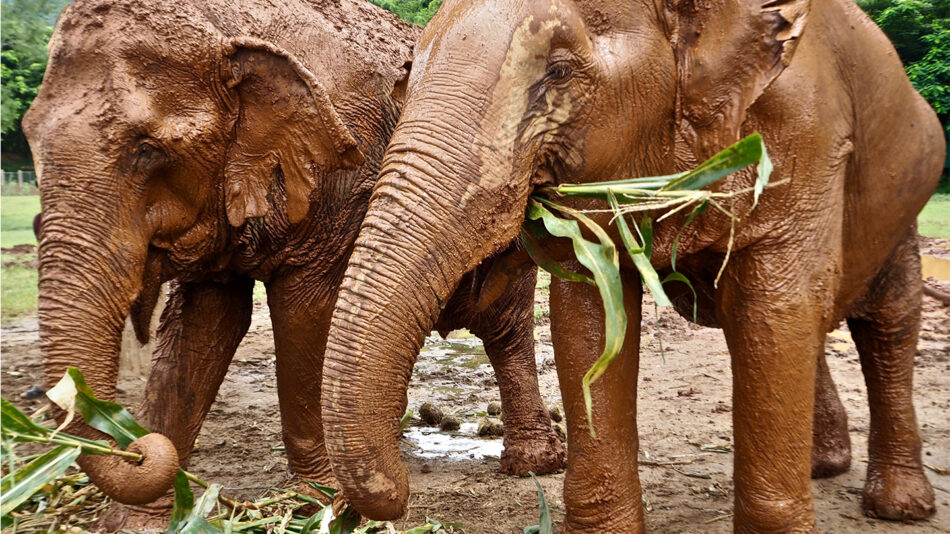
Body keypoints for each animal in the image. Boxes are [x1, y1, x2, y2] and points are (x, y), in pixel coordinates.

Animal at [22, 0, 564, 528]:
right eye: (30, 137)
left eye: (147, 149)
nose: (135, 445)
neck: (227, 24)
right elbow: (203, 323)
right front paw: (143, 520)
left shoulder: (342, 179)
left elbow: (304, 312)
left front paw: (320, 503)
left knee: (504, 327)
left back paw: (531, 464)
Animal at [324, 0, 948, 532]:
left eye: (558, 73)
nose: (396, 497)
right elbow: (590, 315)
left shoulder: (807, 132)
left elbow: (772, 308)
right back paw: (825, 466)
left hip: (906, 191)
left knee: (885, 318)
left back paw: (899, 505)